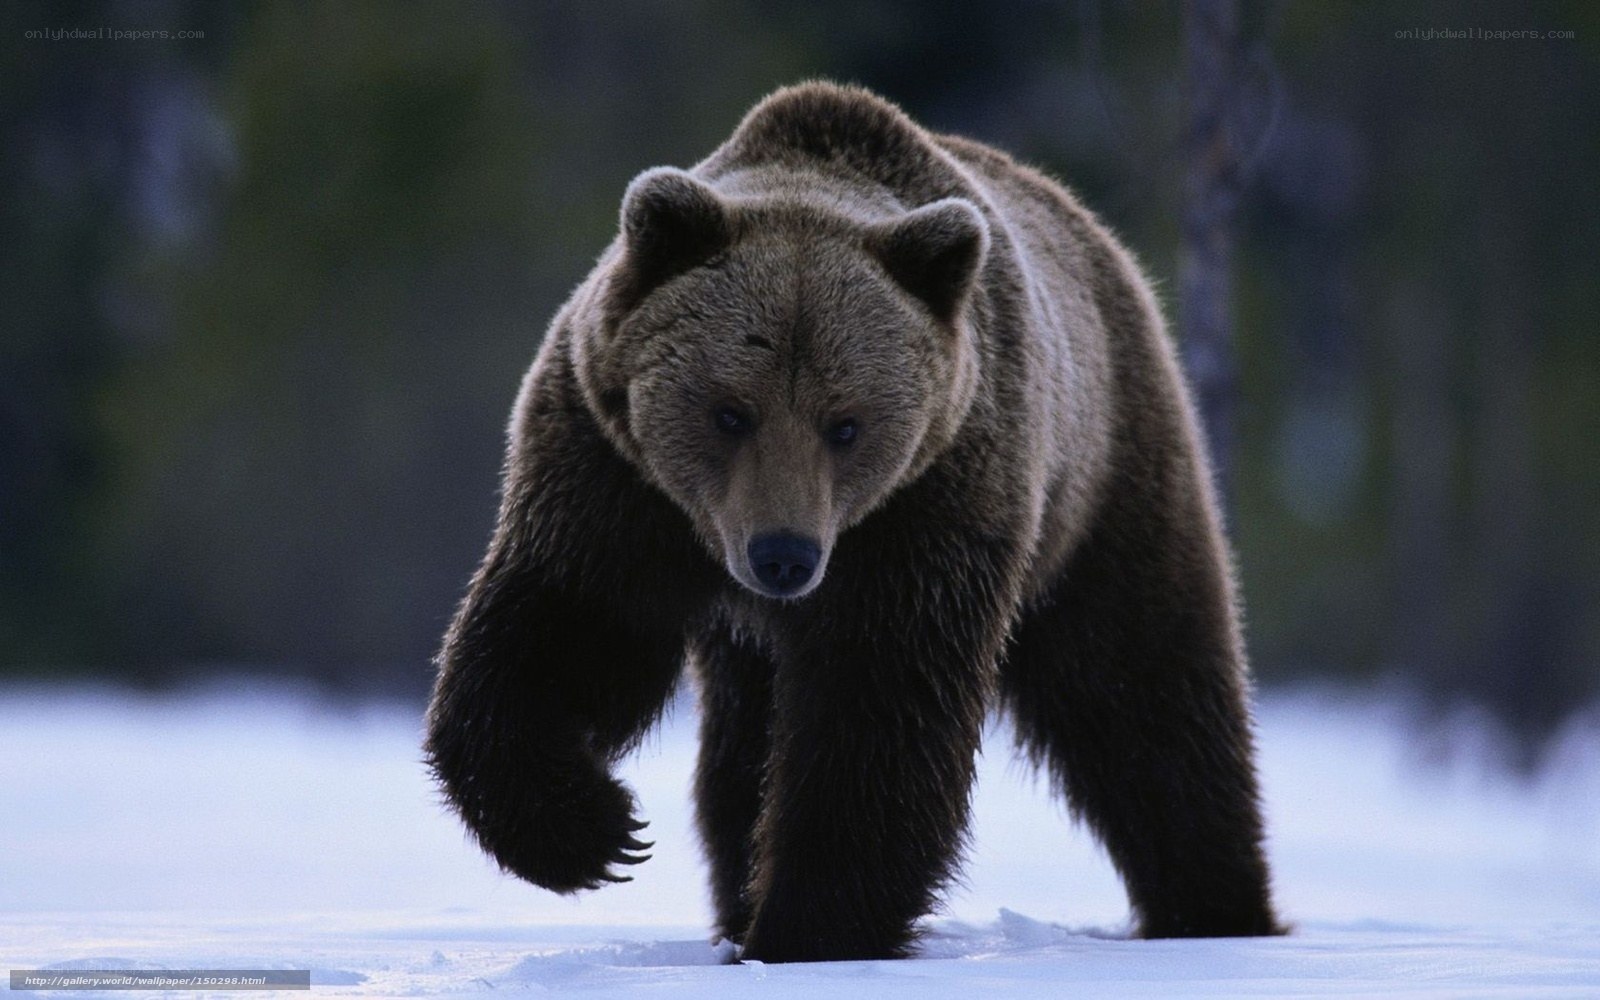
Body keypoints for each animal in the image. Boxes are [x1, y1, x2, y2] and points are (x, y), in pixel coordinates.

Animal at [424, 81, 1281, 963]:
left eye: (846, 424)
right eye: (730, 411)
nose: (784, 555)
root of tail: (1102, 241)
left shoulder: (930, 505)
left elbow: (878, 709)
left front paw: (809, 928)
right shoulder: (613, 477)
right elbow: (567, 629)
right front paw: (593, 832)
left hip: (1105, 483)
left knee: (1144, 693)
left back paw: (1214, 907)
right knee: (740, 751)